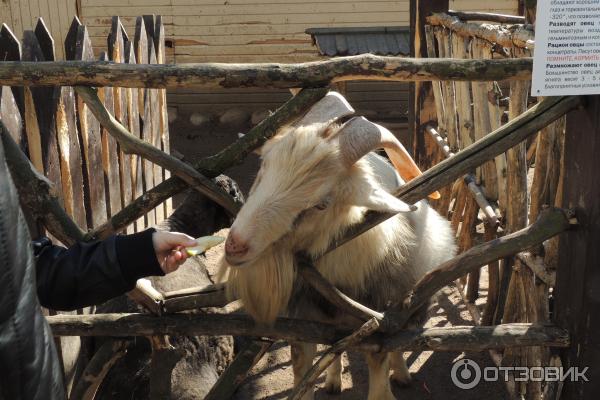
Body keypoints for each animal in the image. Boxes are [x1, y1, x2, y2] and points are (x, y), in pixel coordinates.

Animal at [218, 92, 458, 398]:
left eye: (321, 204)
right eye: (263, 166)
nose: (236, 246)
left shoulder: (379, 329)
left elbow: (381, 375)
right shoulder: (304, 327)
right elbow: (303, 375)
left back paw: (402, 375)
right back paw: (333, 381)